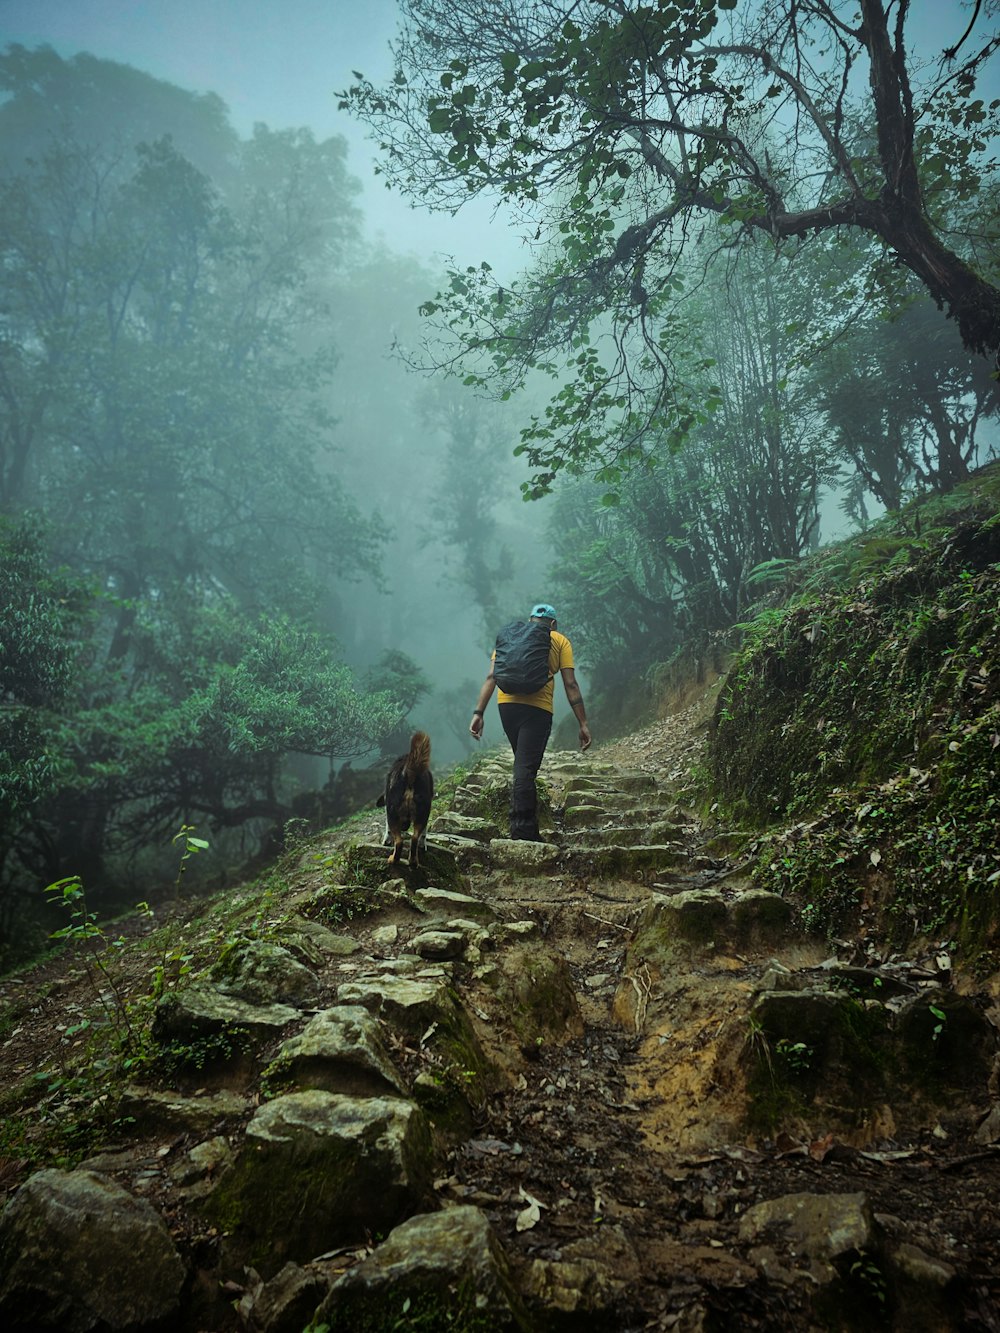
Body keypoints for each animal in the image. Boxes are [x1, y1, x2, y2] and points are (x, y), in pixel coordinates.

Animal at [378, 735, 432, 869]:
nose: (404, 827)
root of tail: (408, 772)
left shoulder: (388, 810)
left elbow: (387, 828)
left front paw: (386, 840)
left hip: (393, 814)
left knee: (399, 842)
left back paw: (393, 860)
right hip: (422, 813)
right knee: (415, 838)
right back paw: (413, 861)